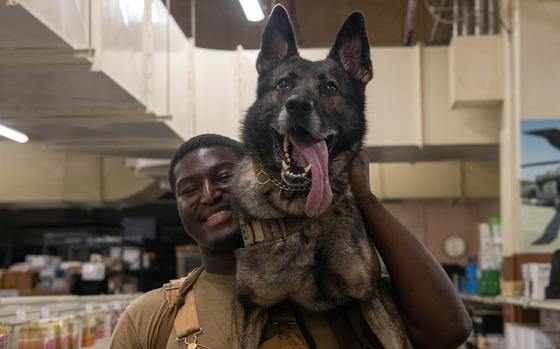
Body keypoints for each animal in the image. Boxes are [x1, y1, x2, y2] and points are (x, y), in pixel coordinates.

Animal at [230, 6, 414, 348]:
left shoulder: (373, 292)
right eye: (283, 84)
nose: (298, 105)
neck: (300, 211)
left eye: (330, 87)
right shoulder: (249, 305)